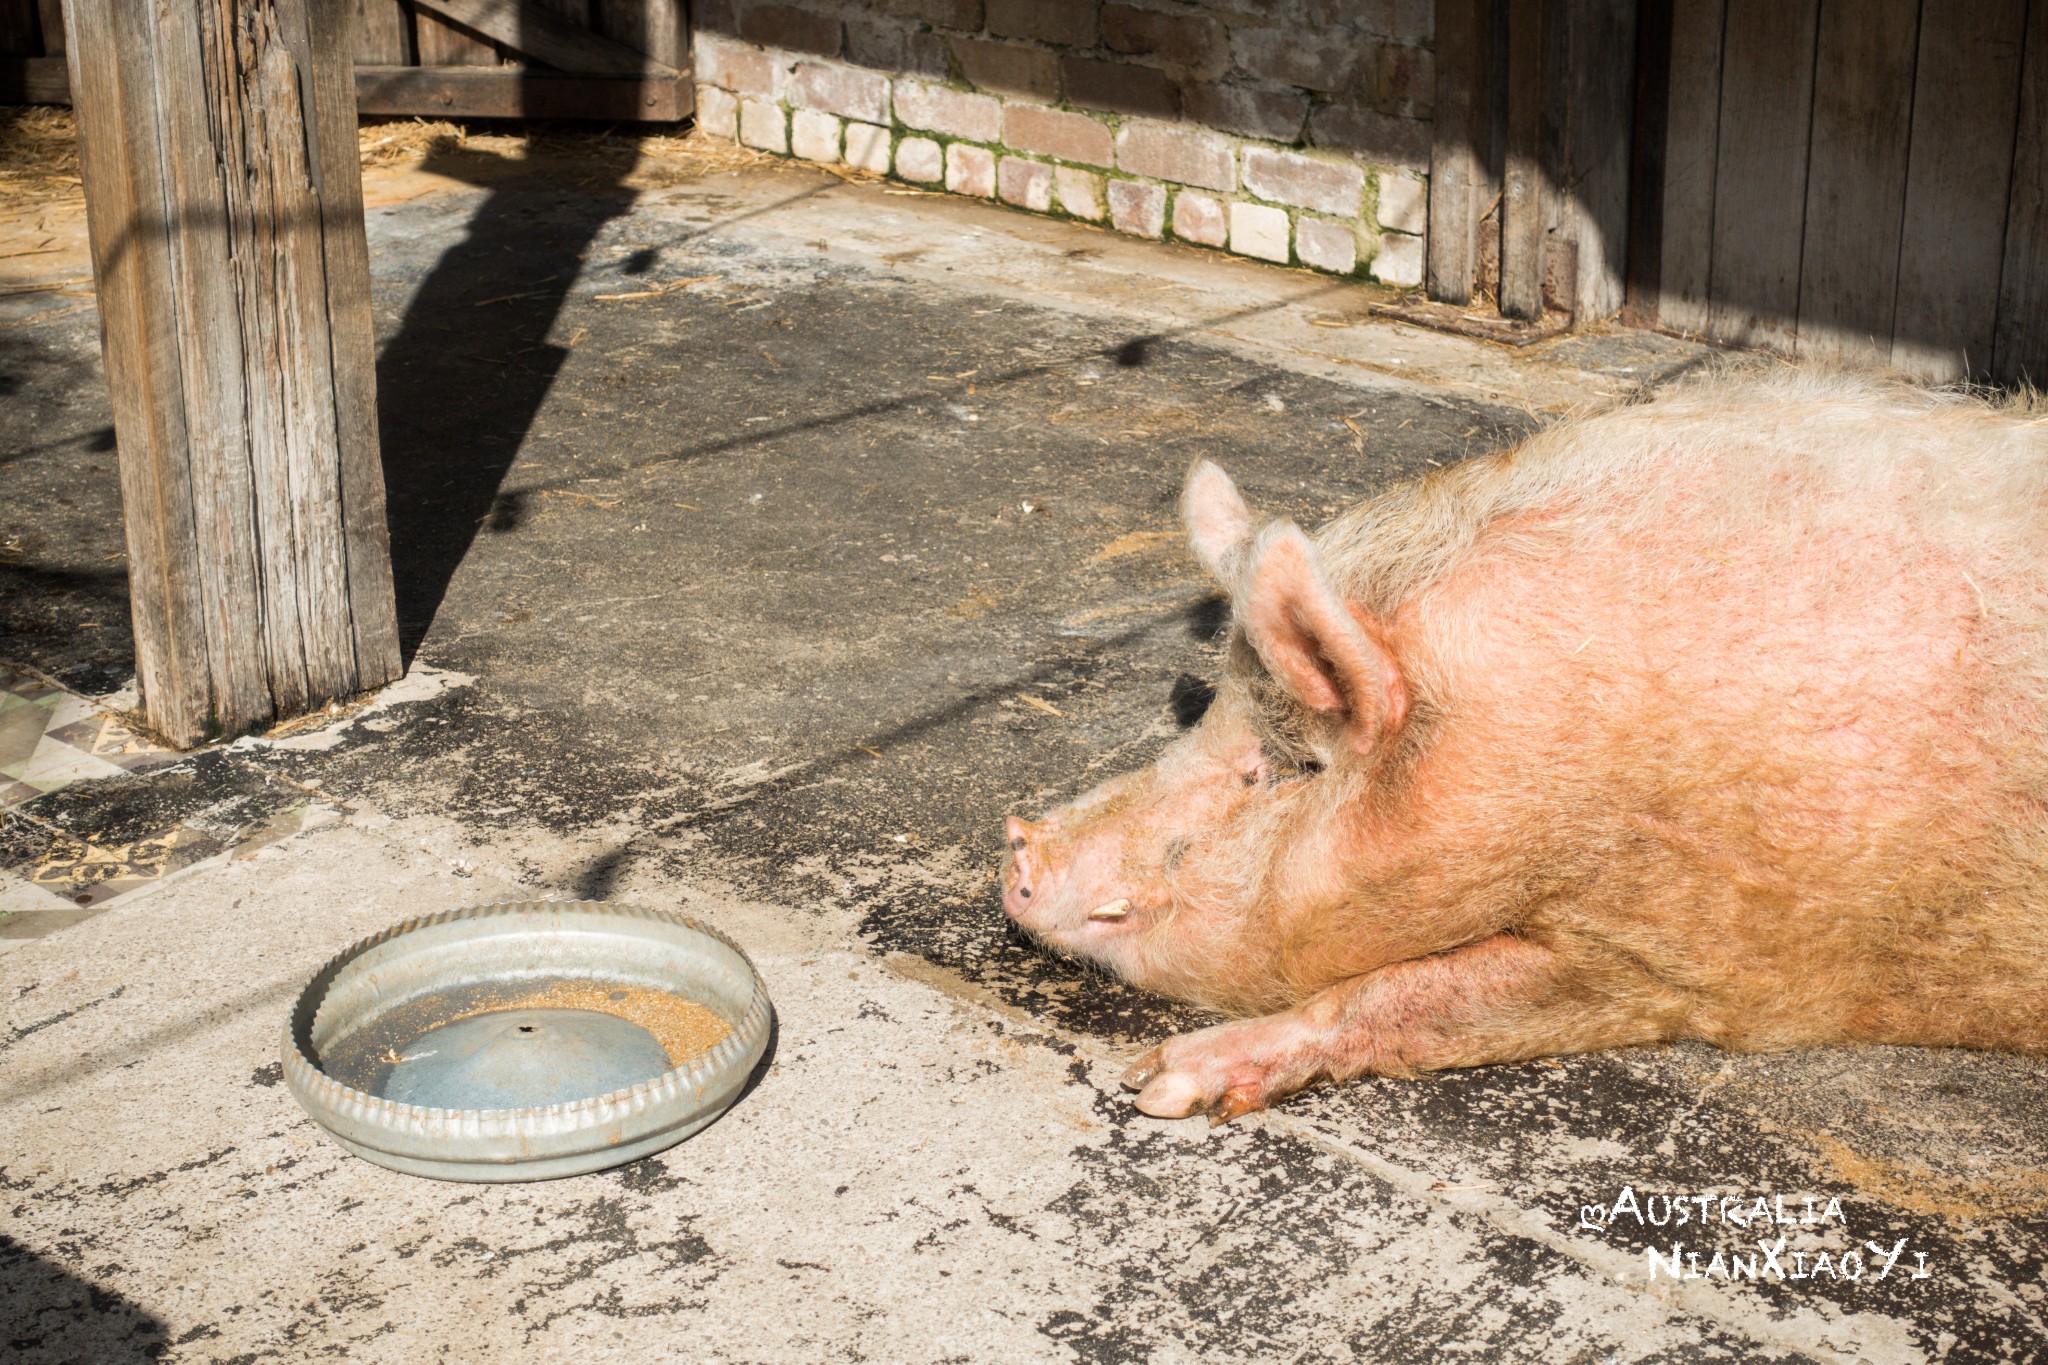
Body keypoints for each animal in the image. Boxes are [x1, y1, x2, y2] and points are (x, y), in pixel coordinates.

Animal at [999, 368, 2048, 1129]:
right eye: (1206, 711)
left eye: (1288, 765)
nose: (1017, 842)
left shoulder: (1698, 955)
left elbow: (1401, 997)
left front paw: (1157, 1085)